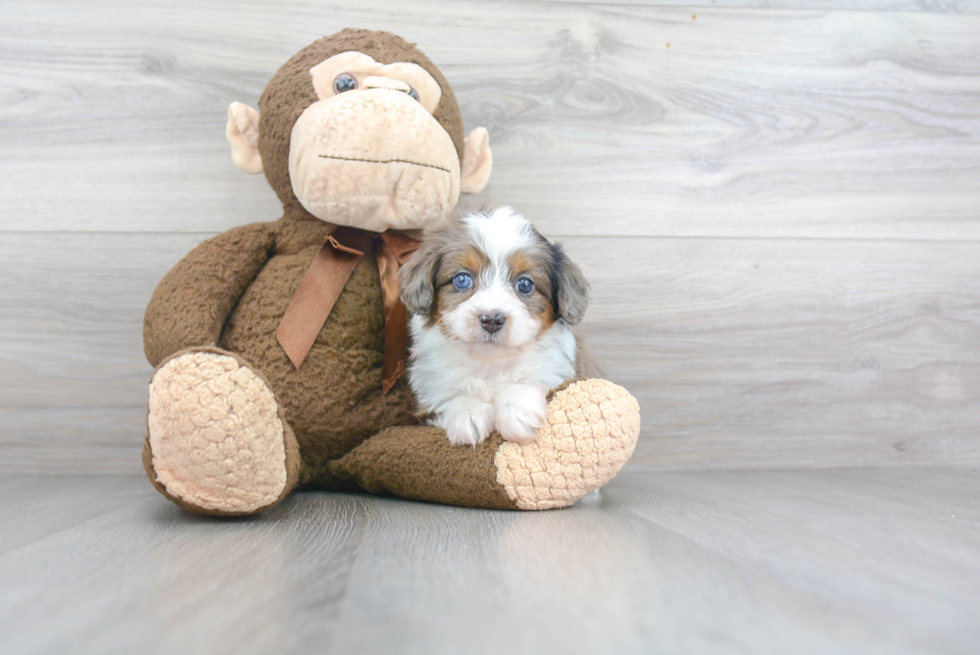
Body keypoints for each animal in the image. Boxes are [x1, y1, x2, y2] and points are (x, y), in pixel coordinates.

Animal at [400, 208, 596, 448]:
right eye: (462, 279)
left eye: (525, 284)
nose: (491, 319)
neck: (490, 363)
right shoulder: (428, 398)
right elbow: (451, 399)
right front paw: (468, 414)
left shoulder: (557, 371)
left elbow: (532, 379)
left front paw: (518, 410)